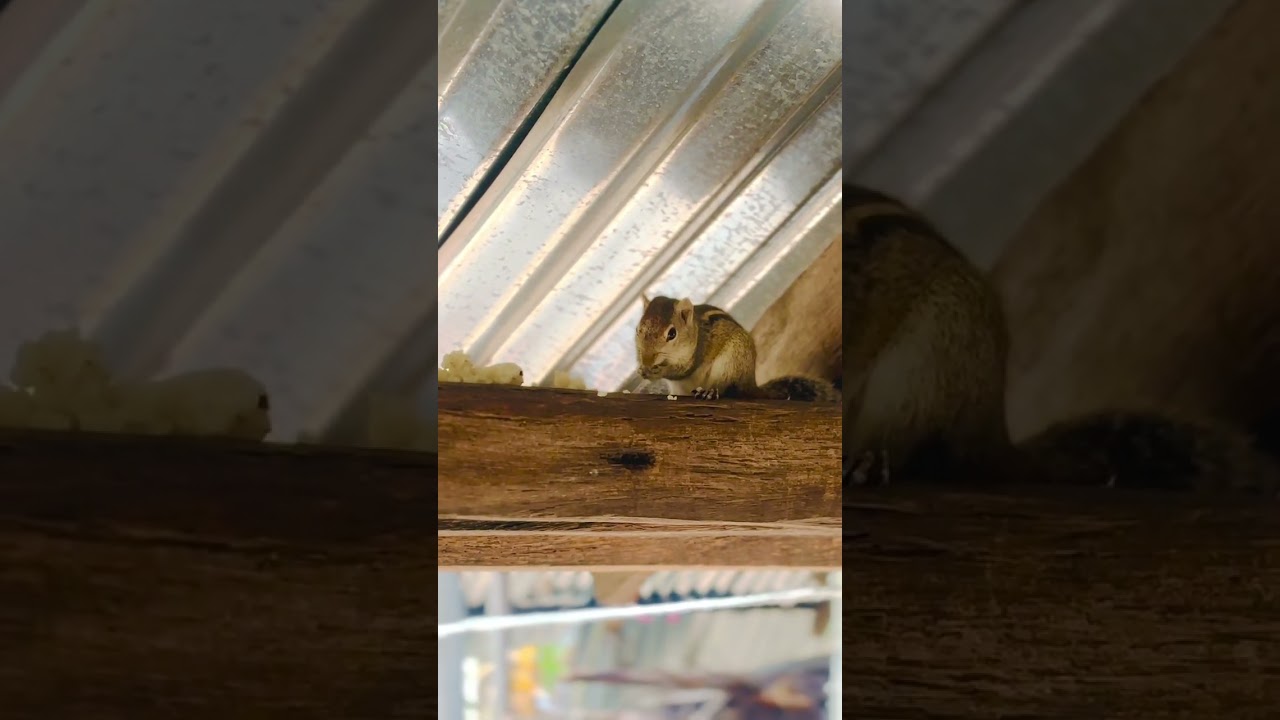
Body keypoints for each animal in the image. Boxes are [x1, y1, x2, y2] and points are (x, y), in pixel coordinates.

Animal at [635, 295, 839, 402]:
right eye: (638, 330)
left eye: (672, 334)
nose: (647, 360)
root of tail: (751, 383)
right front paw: (641, 371)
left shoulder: (697, 352)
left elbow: (682, 369)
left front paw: (657, 371)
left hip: (731, 363)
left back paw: (709, 391)